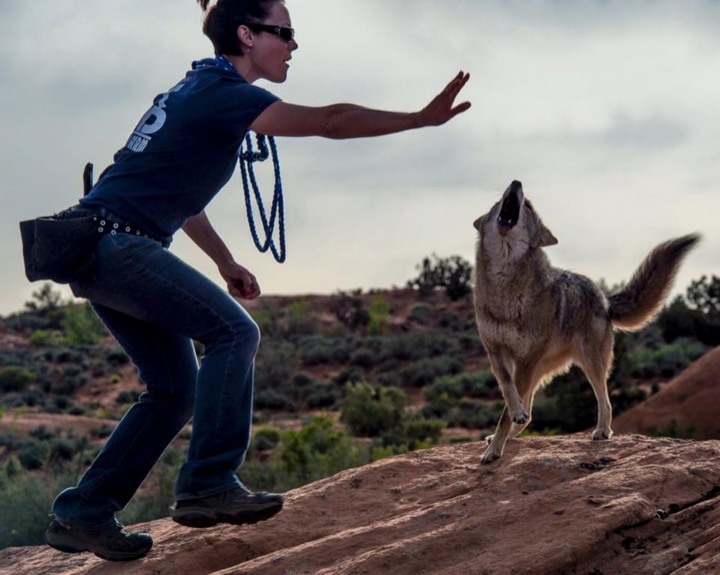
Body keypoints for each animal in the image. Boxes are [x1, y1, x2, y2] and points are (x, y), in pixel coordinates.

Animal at [472, 180, 700, 464]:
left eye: (528, 205)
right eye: (502, 199)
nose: (516, 183)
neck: (504, 284)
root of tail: (604, 299)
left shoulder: (524, 358)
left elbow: (505, 413)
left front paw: (493, 451)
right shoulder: (496, 353)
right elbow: (507, 390)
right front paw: (503, 434)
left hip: (590, 363)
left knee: (605, 400)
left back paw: (602, 431)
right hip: (540, 369)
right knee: (531, 411)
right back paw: (514, 430)